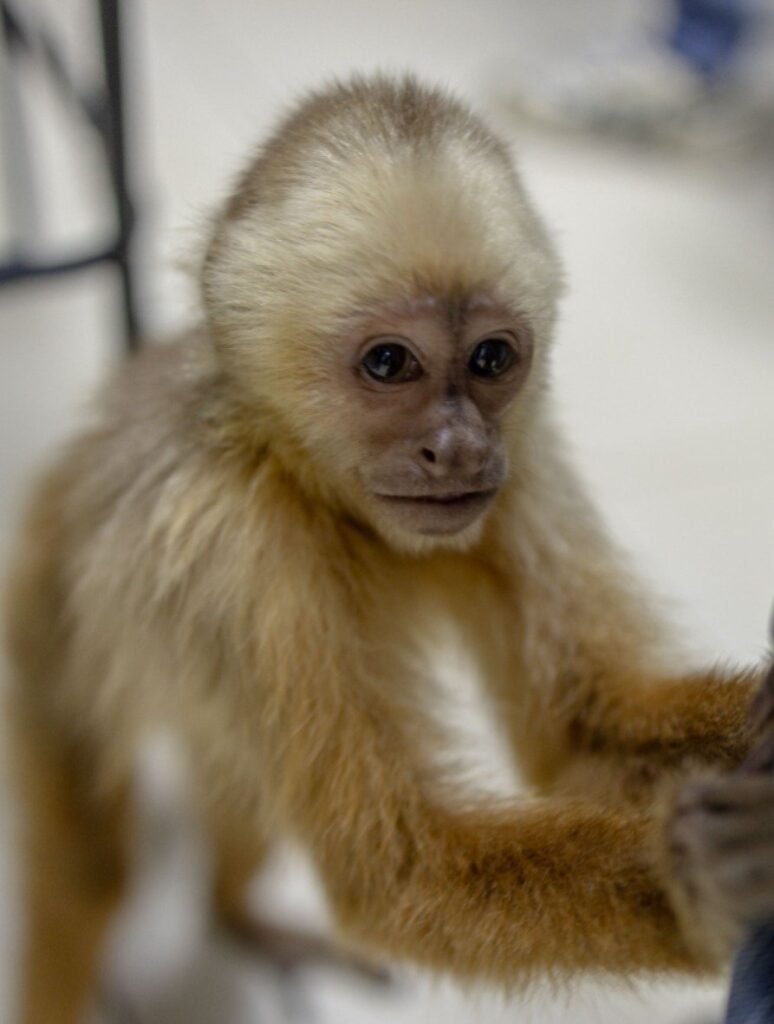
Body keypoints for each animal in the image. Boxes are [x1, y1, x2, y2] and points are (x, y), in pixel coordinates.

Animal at [4, 73, 774, 1024]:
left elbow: (579, 735)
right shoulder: (236, 550)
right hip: (43, 621)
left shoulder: (522, 471)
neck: (311, 484)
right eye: (387, 364)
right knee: (87, 875)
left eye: (491, 358)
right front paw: (709, 882)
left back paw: (233, 913)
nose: (459, 448)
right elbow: (400, 873)